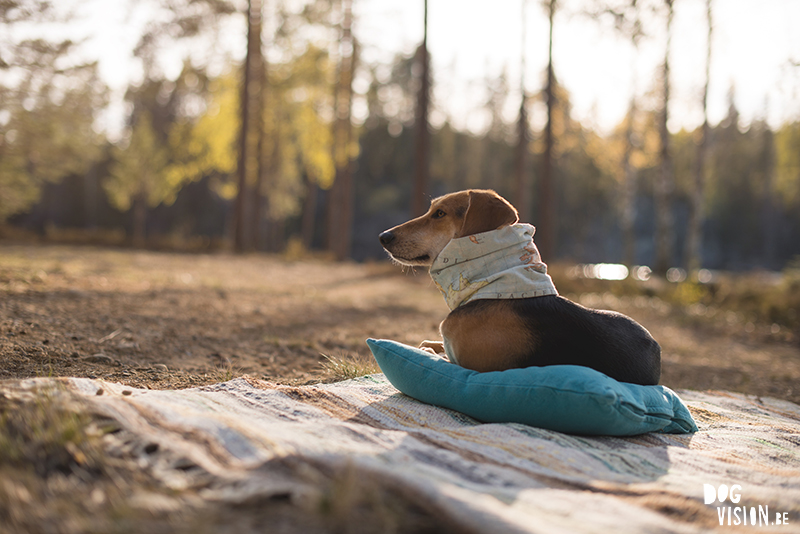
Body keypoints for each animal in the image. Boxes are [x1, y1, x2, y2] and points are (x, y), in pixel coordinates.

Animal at [382, 191, 664, 388]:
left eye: (440, 214)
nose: (383, 236)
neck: (492, 287)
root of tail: (658, 353)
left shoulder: (470, 367)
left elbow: (434, 354)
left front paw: (427, 348)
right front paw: (428, 342)